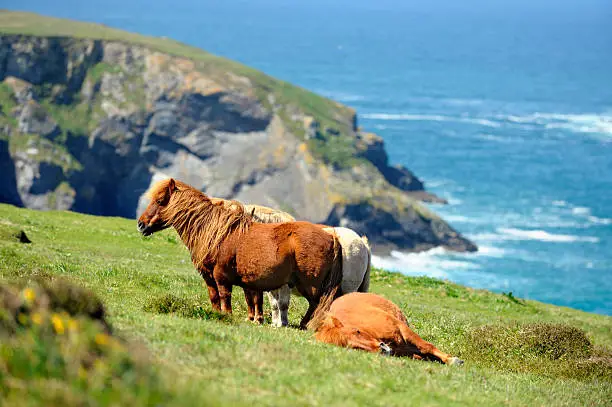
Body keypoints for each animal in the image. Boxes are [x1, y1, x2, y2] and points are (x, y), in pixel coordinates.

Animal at [136, 178, 342, 328]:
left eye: (160, 201)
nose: (141, 224)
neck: (216, 232)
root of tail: (331, 236)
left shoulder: (222, 277)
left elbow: (225, 298)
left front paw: (227, 317)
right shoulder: (209, 277)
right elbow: (215, 298)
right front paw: (217, 315)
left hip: (310, 285)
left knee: (316, 305)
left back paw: (304, 325)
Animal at [306, 294, 464, 366]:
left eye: (357, 331)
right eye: (352, 347)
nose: (381, 348)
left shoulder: (402, 328)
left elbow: (427, 346)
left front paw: (452, 360)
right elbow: (423, 353)